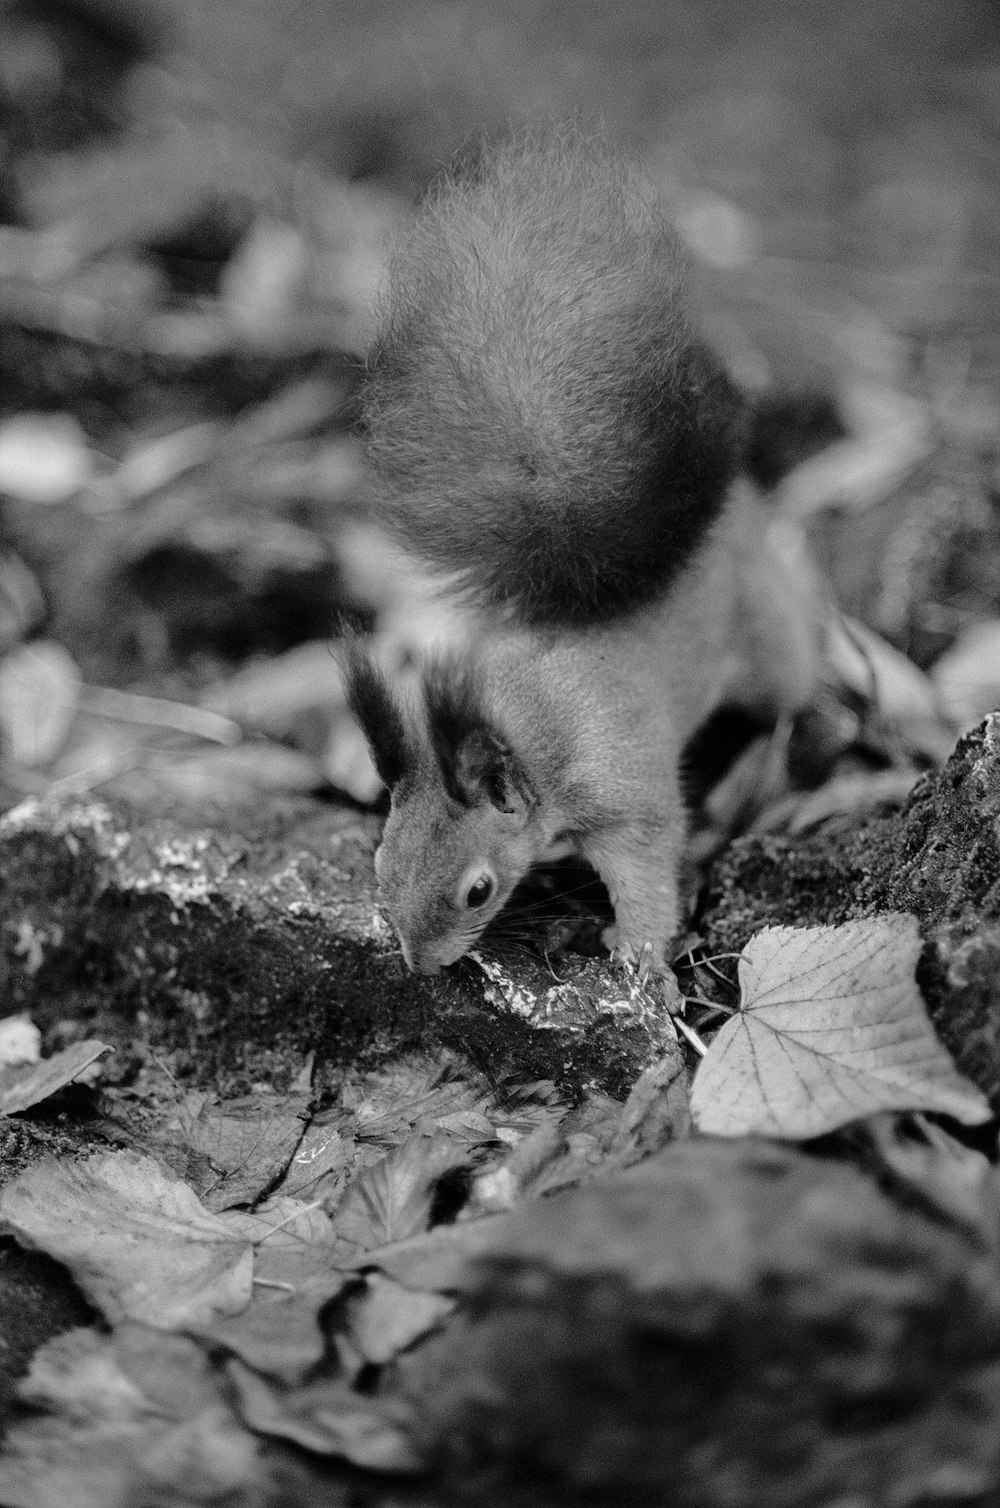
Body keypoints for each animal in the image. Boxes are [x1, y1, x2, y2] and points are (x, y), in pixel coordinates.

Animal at [343, 123, 820, 983]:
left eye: (478, 891)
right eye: (379, 862)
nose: (416, 965)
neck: (531, 725)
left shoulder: (626, 793)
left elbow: (648, 868)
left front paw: (638, 959)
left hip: (767, 636)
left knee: (792, 691)